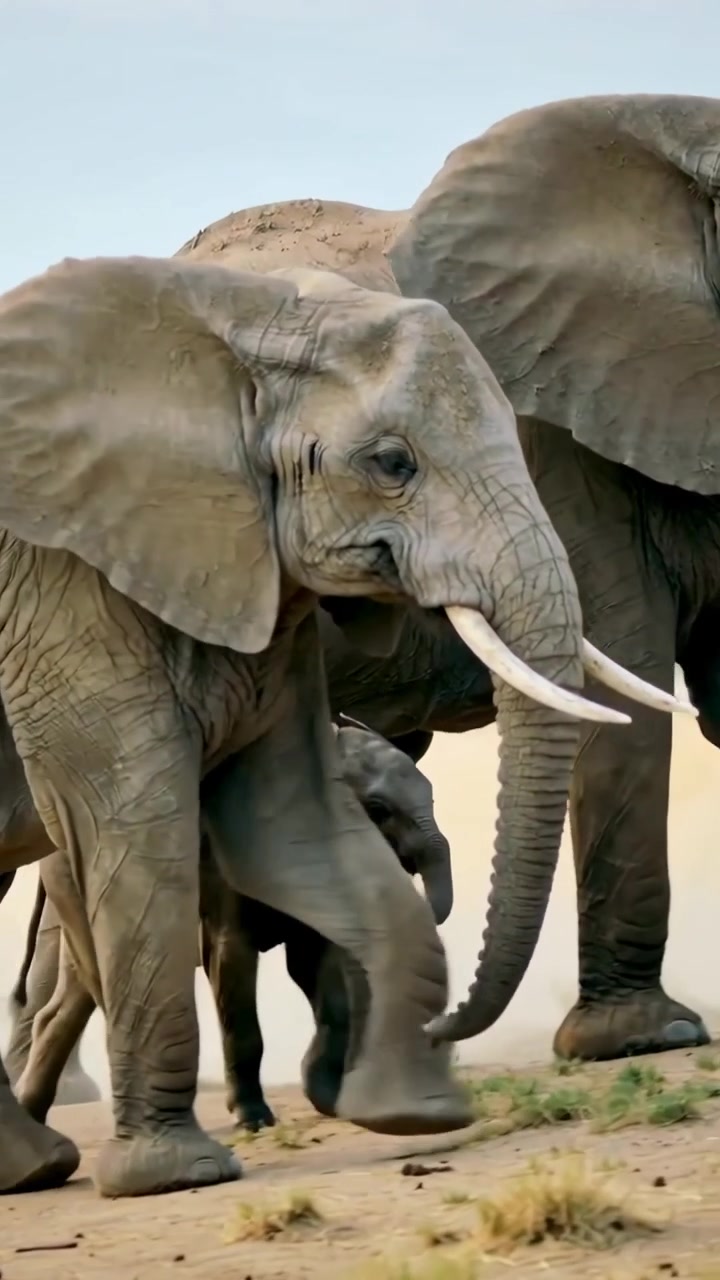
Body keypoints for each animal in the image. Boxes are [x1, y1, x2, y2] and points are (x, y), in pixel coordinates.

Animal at [6, 718, 453, 1132]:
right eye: (378, 810)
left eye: (432, 796)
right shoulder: (222, 868)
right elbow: (230, 958)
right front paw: (253, 1121)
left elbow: (315, 966)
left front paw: (329, 1099)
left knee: (73, 995)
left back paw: (33, 1112)